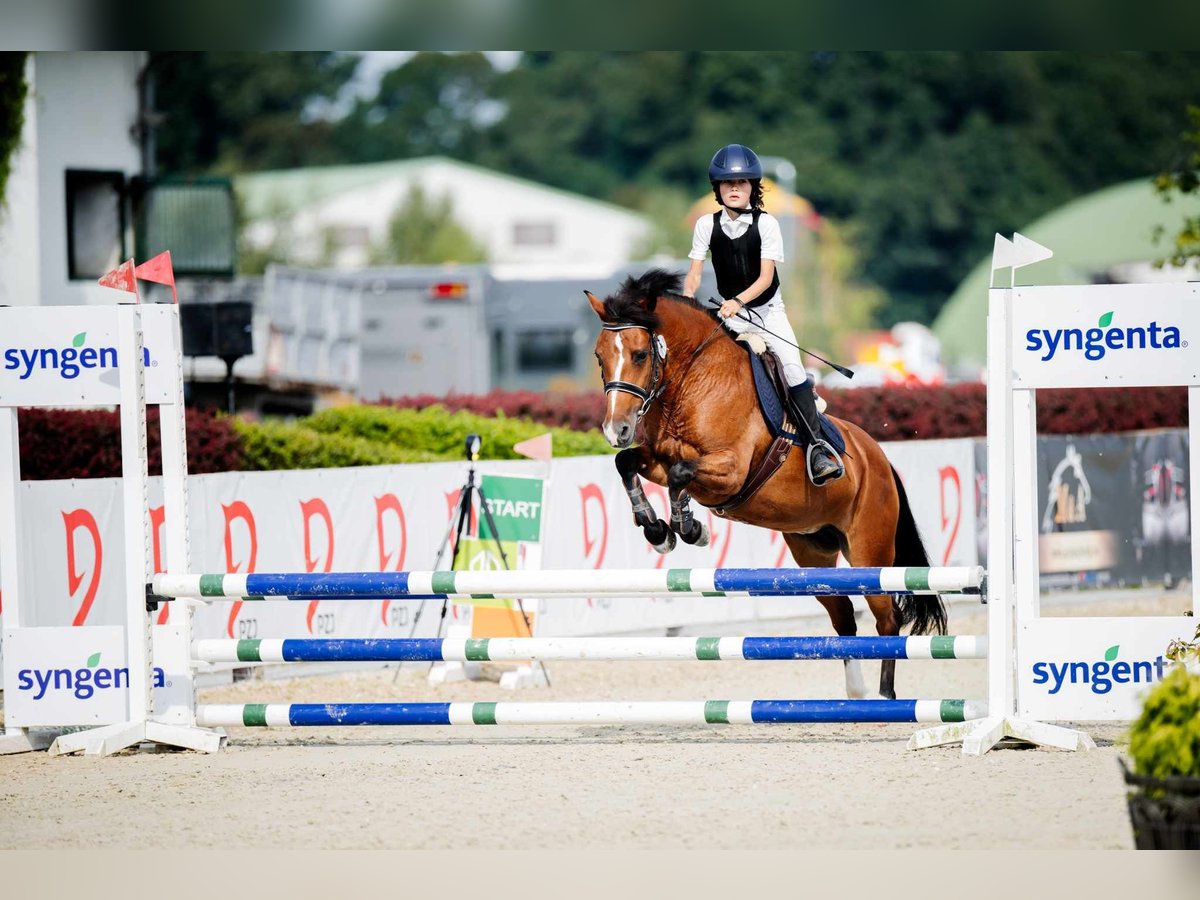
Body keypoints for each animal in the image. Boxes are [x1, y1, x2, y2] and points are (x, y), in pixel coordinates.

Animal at [588, 271, 945, 700]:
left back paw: (883, 698)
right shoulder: (659, 458)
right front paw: (658, 531)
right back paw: (856, 694)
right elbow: (628, 464)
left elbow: (680, 477)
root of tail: (879, 458)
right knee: (844, 617)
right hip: (813, 551)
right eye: (599, 356)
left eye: (641, 355)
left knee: (887, 618)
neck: (692, 381)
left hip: (868, 550)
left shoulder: (730, 470)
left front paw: (689, 528)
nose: (616, 430)